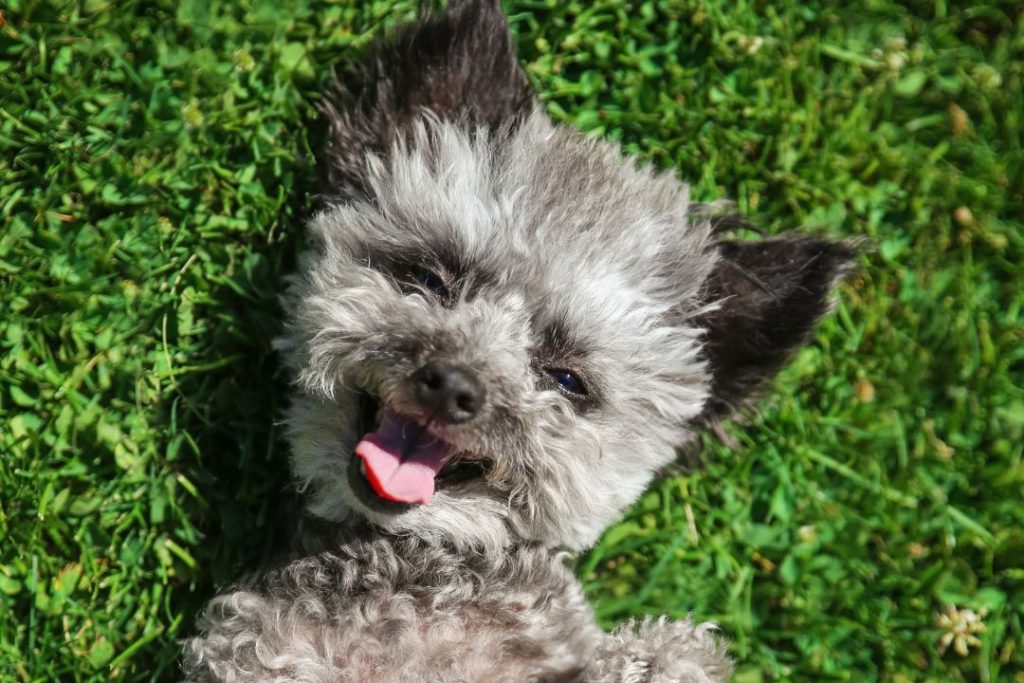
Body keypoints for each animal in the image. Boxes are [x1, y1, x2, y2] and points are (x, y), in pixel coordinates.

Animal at [182, 1, 854, 680]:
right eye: (431, 280)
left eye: (567, 379)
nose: (452, 386)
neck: (415, 581)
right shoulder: (254, 650)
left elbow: (673, 651)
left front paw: (659, 653)